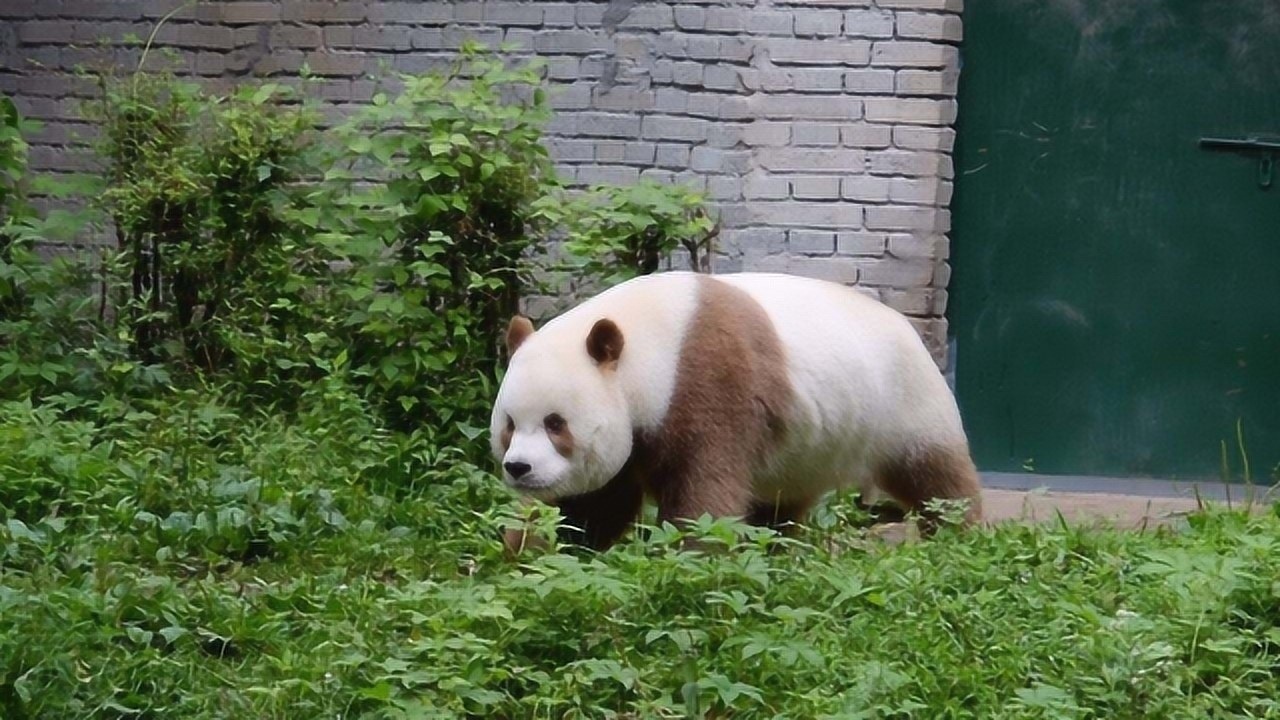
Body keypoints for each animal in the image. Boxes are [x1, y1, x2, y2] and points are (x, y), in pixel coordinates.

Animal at [490, 271, 982, 552]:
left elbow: (703, 494)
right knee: (778, 505)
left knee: (934, 476)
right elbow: (591, 503)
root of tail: (908, 325)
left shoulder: (709, 383)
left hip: (903, 400)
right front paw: (529, 554)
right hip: (802, 449)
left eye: (556, 424)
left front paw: (692, 560)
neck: (652, 343)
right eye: (509, 425)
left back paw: (961, 537)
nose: (519, 468)